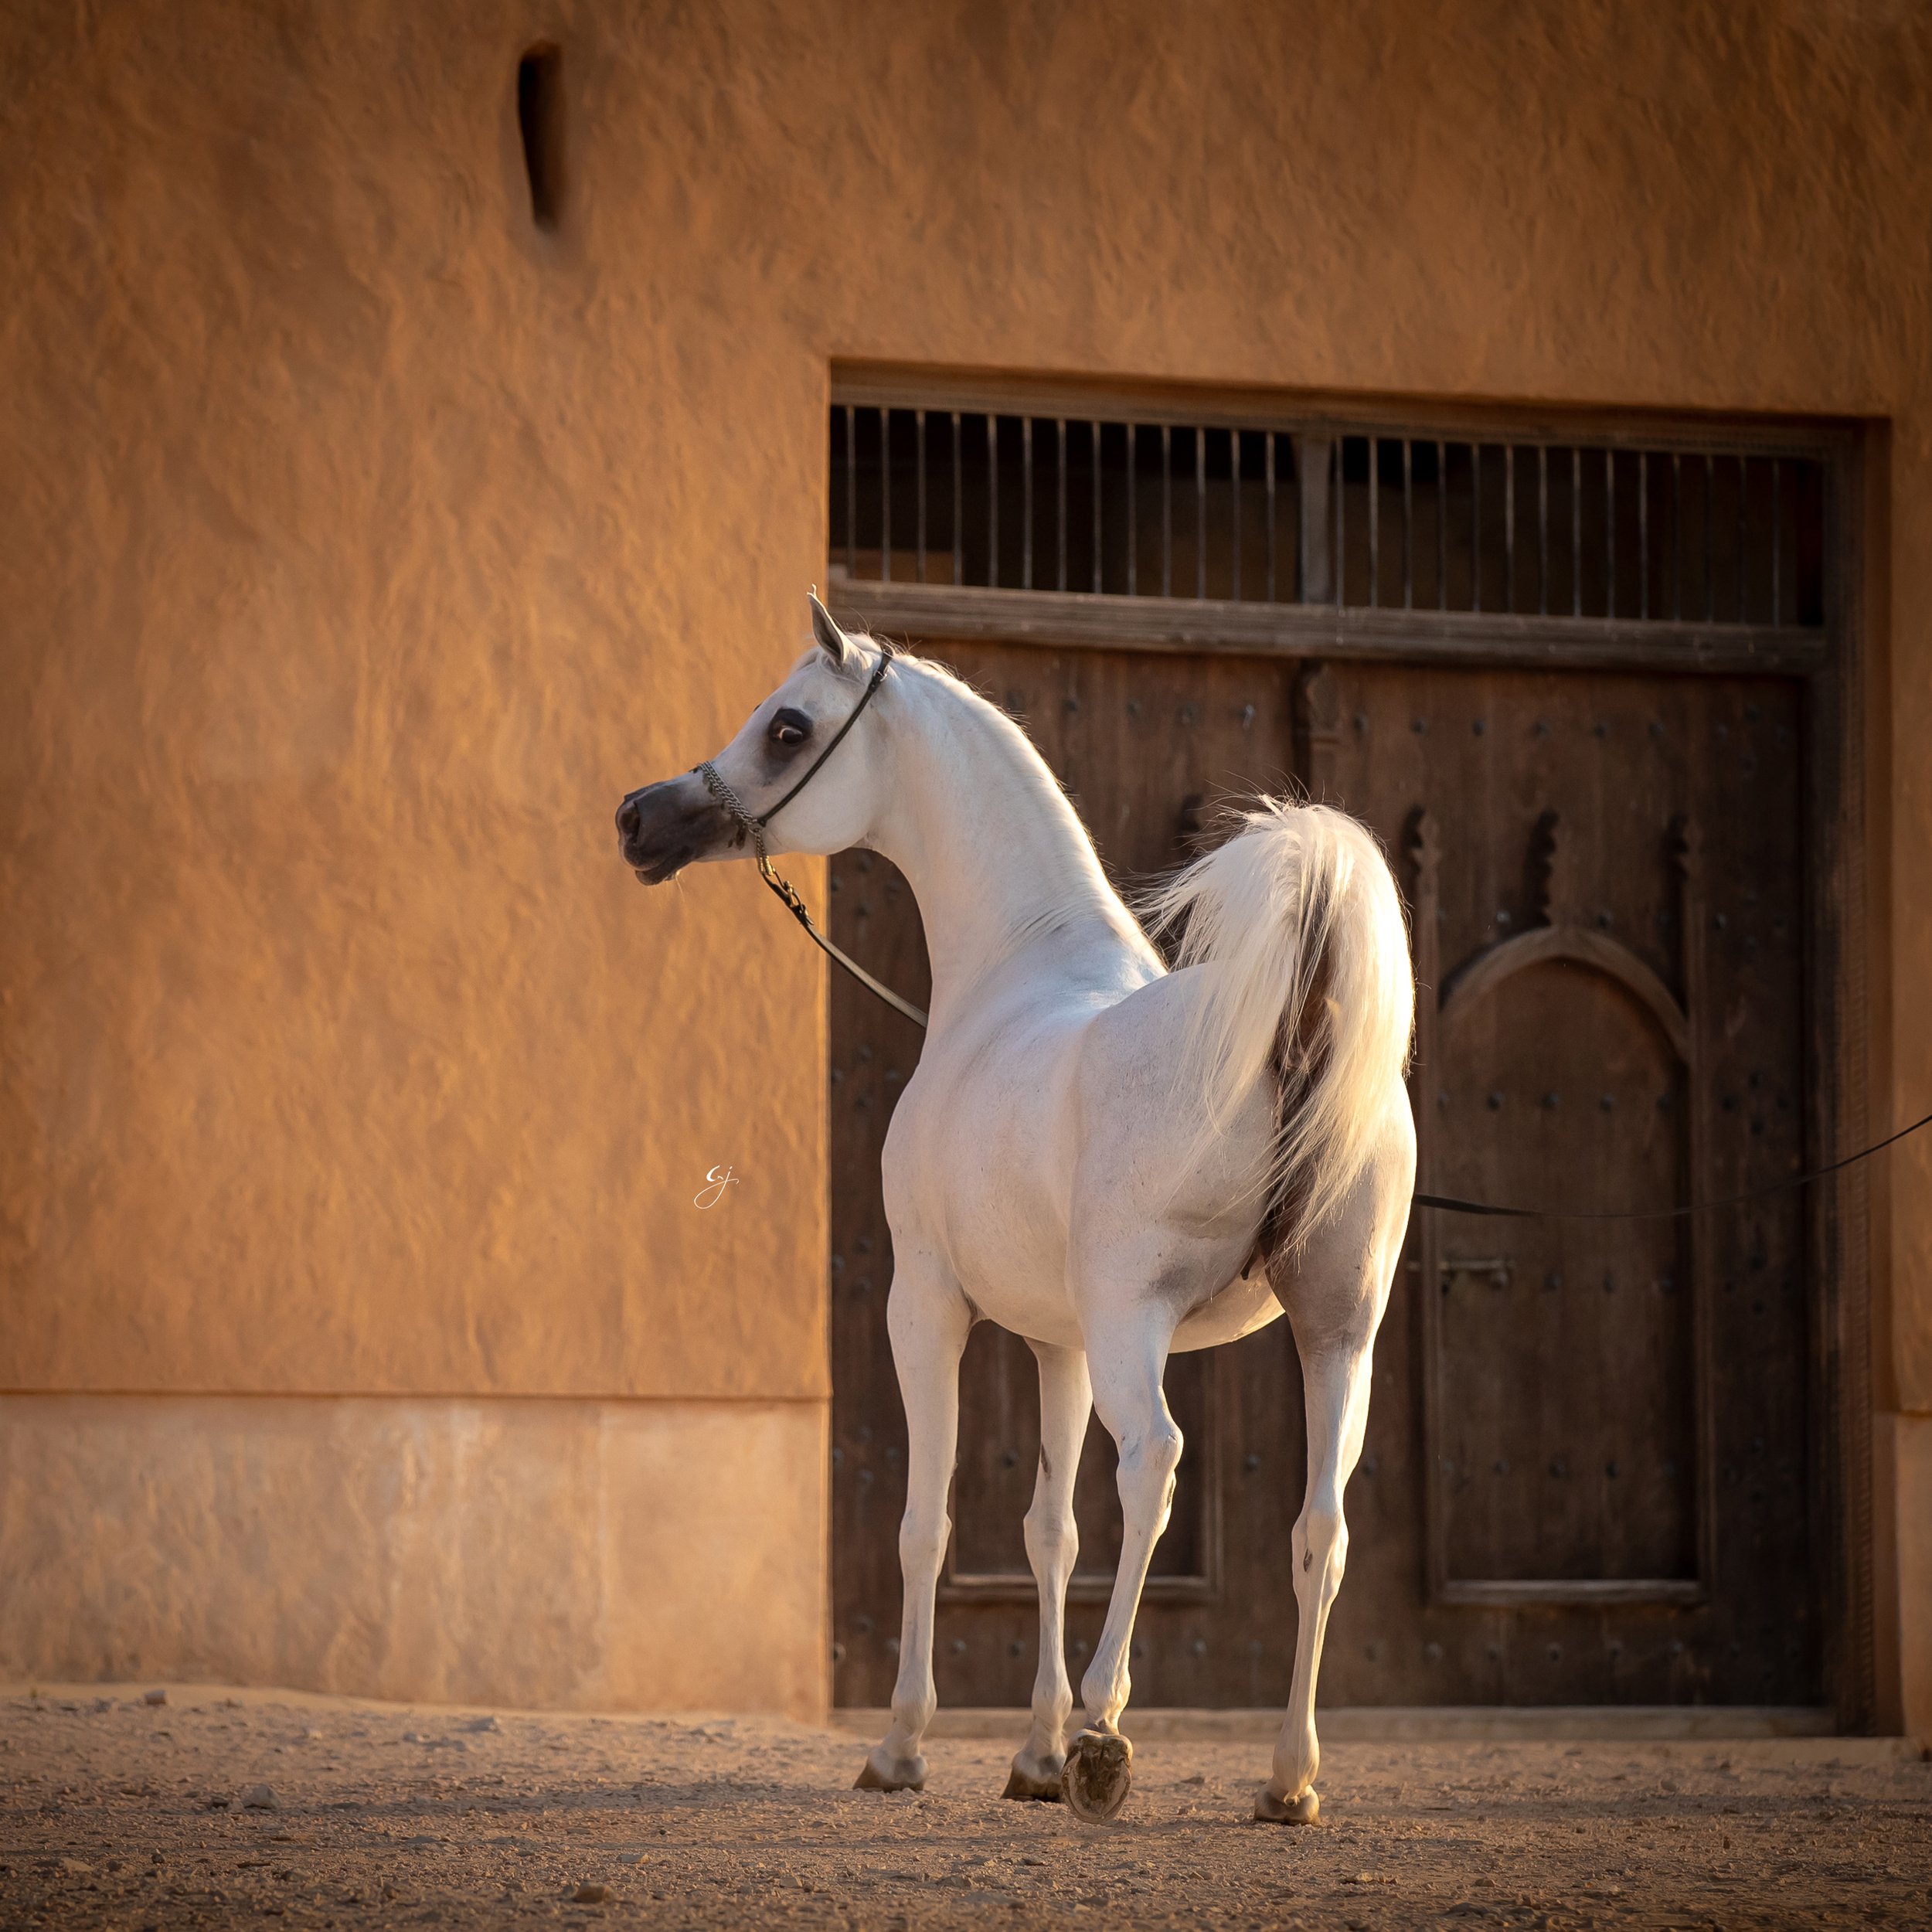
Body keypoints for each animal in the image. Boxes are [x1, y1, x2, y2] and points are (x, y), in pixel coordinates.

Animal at [615, 593, 1416, 1824]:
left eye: (788, 728)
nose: (639, 817)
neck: (1018, 976)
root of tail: (1295, 1021)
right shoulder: (1058, 1343)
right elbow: (1049, 1531)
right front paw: (1029, 1755)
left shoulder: (926, 1307)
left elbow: (926, 1522)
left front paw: (906, 1745)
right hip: (1339, 1331)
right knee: (1317, 1528)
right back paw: (1287, 1776)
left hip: (1142, 1323)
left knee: (1155, 1463)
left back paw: (1106, 1728)